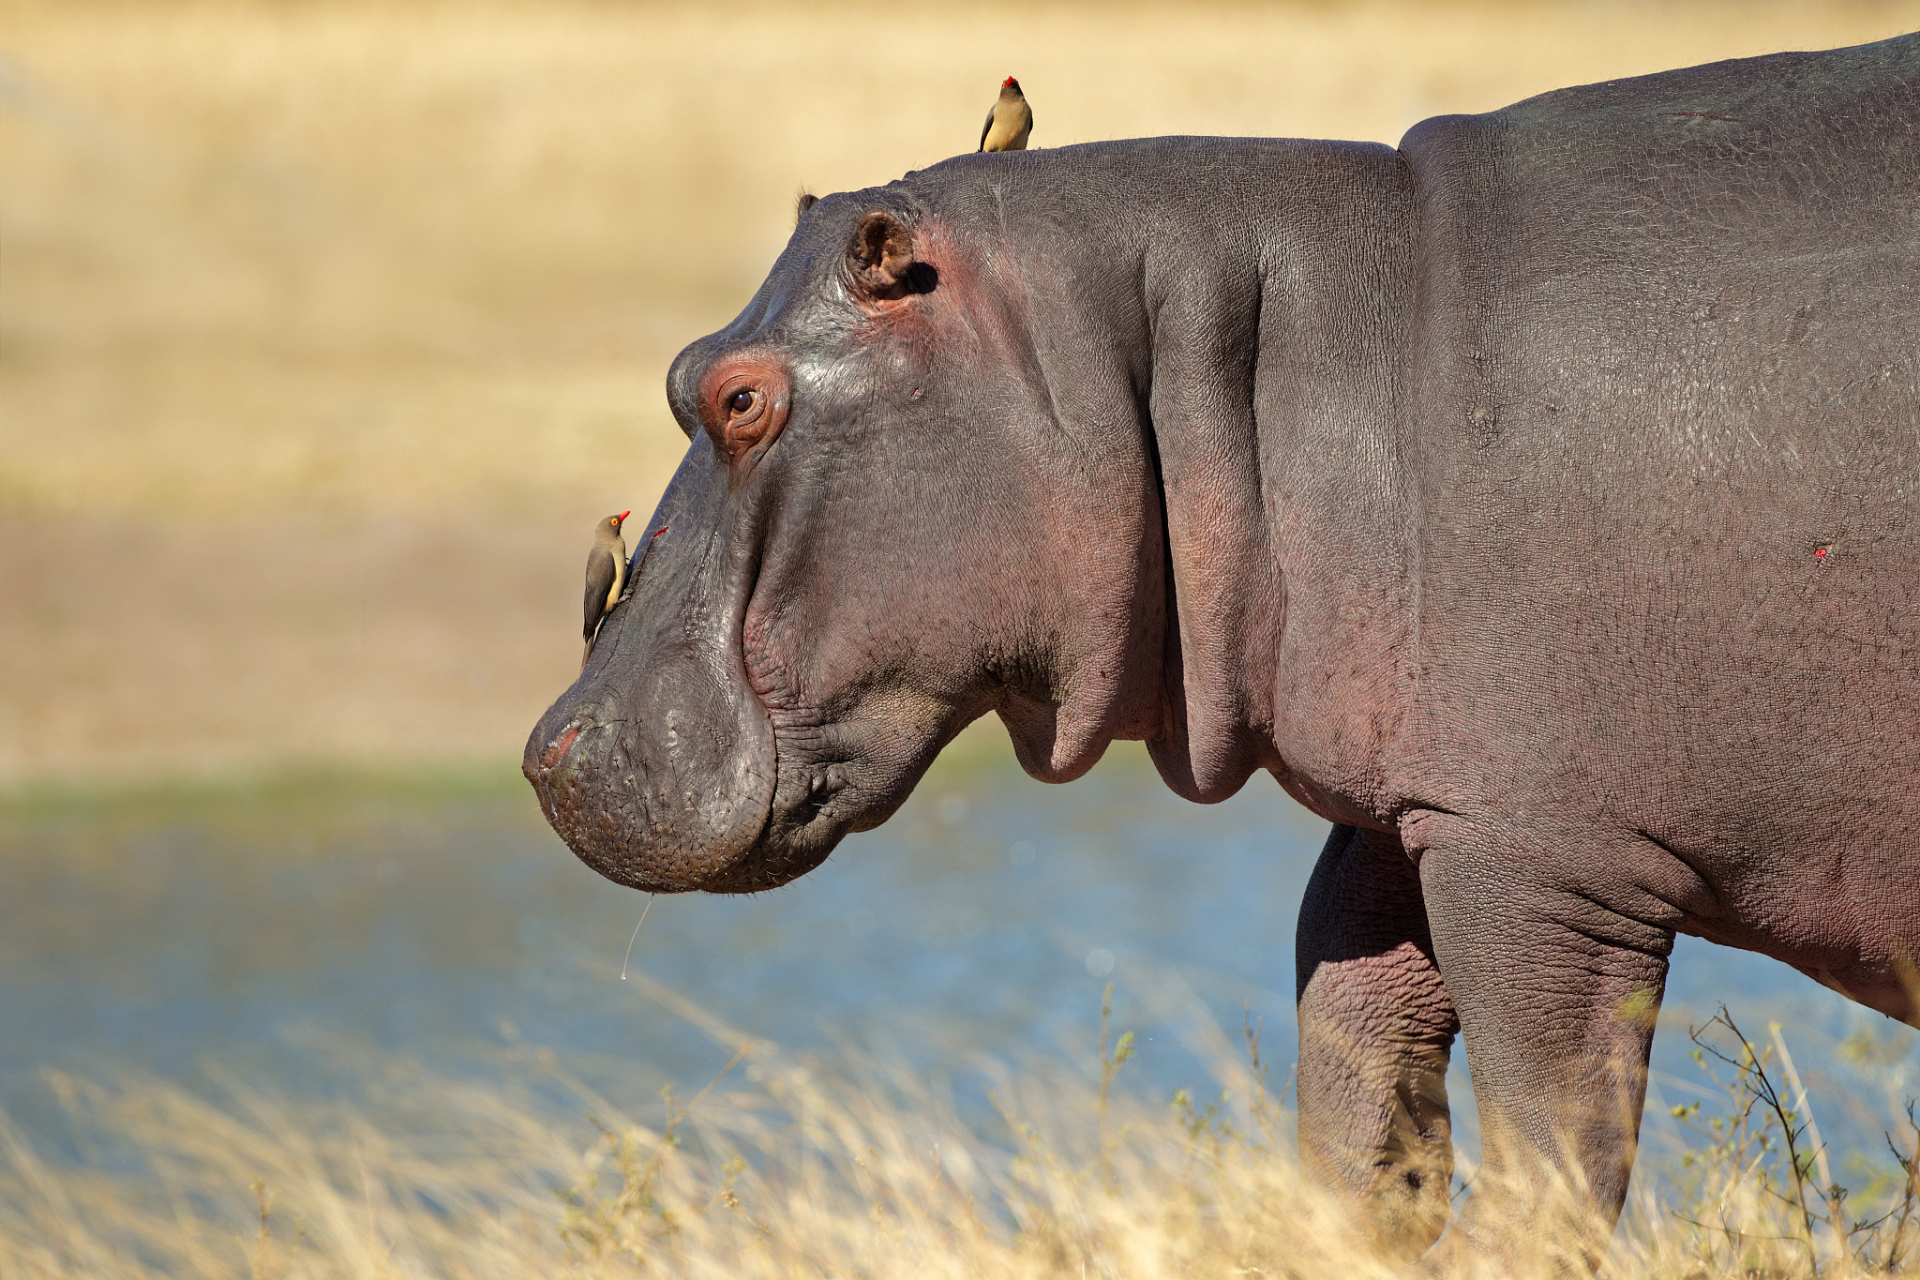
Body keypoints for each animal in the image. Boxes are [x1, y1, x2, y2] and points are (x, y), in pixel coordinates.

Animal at [533, 29, 1920, 1274]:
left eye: (741, 396)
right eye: (682, 369)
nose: (549, 745)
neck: (1329, 351)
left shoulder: (1544, 857)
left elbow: (1550, 1166)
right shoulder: (1414, 808)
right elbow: (1358, 1087)